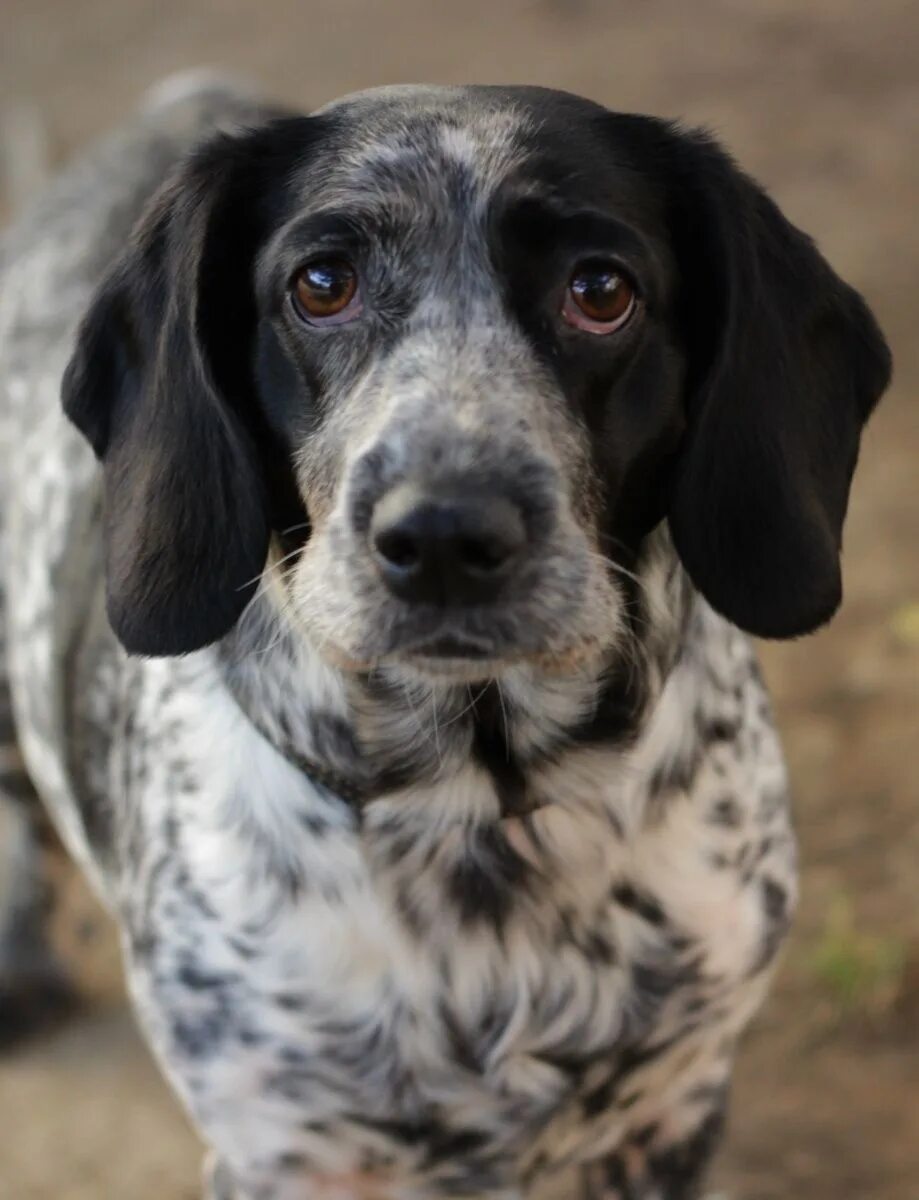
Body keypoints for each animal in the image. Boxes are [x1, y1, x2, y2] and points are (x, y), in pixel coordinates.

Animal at [0, 79, 892, 1195]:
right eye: (321, 283)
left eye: (600, 289)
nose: (441, 537)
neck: (481, 808)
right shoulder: (282, 1152)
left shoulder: (670, 1109)